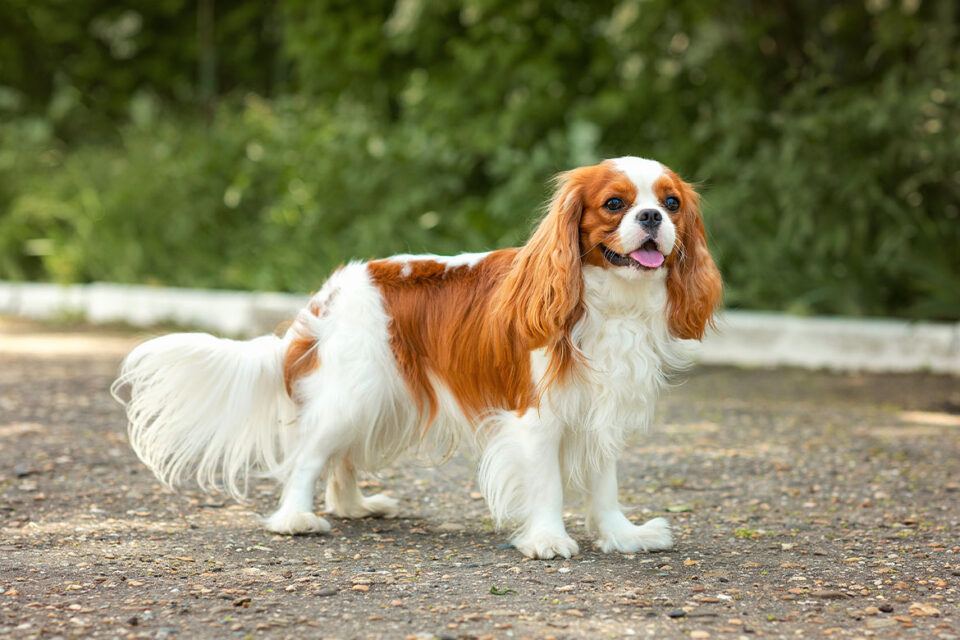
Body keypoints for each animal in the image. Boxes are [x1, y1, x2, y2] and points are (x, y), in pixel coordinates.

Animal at [112, 156, 716, 560]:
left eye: (671, 203)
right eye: (615, 204)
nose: (651, 219)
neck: (608, 301)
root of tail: (328, 292)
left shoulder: (601, 407)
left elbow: (604, 484)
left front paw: (622, 536)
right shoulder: (535, 414)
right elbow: (545, 480)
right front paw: (547, 539)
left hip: (378, 397)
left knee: (340, 459)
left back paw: (354, 507)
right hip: (352, 392)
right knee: (308, 456)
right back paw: (296, 519)